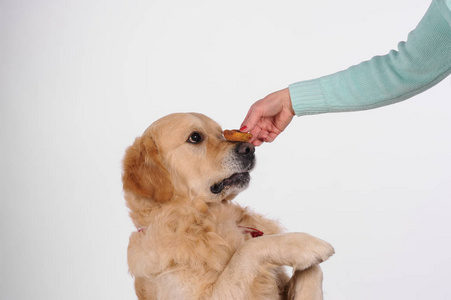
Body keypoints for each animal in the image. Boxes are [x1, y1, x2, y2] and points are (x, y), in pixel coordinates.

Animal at [122, 113, 334, 300]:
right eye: (195, 137)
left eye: (222, 134)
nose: (249, 148)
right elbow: (247, 249)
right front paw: (306, 245)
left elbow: (313, 271)